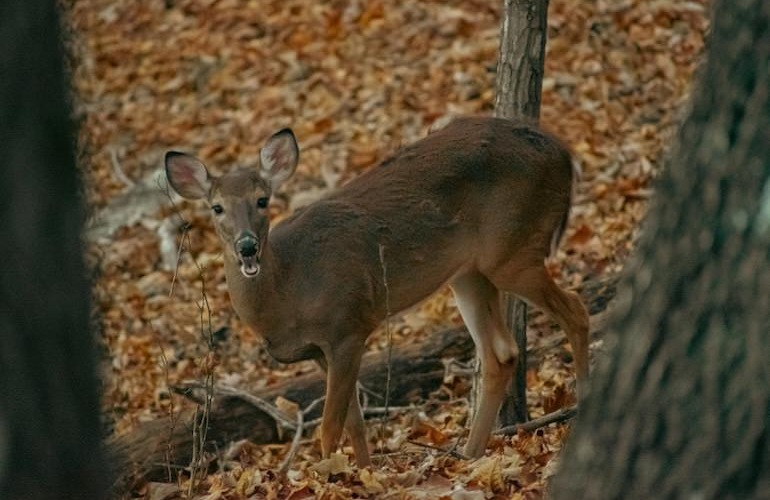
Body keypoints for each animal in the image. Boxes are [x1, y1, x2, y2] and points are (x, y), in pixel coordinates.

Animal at [165, 115, 588, 466]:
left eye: (262, 200)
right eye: (217, 207)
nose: (247, 246)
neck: (288, 290)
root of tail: (565, 156)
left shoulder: (347, 325)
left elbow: (330, 426)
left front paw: (326, 477)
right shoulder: (320, 350)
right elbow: (354, 422)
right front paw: (363, 472)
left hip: (514, 249)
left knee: (576, 310)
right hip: (469, 272)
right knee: (501, 353)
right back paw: (468, 454)